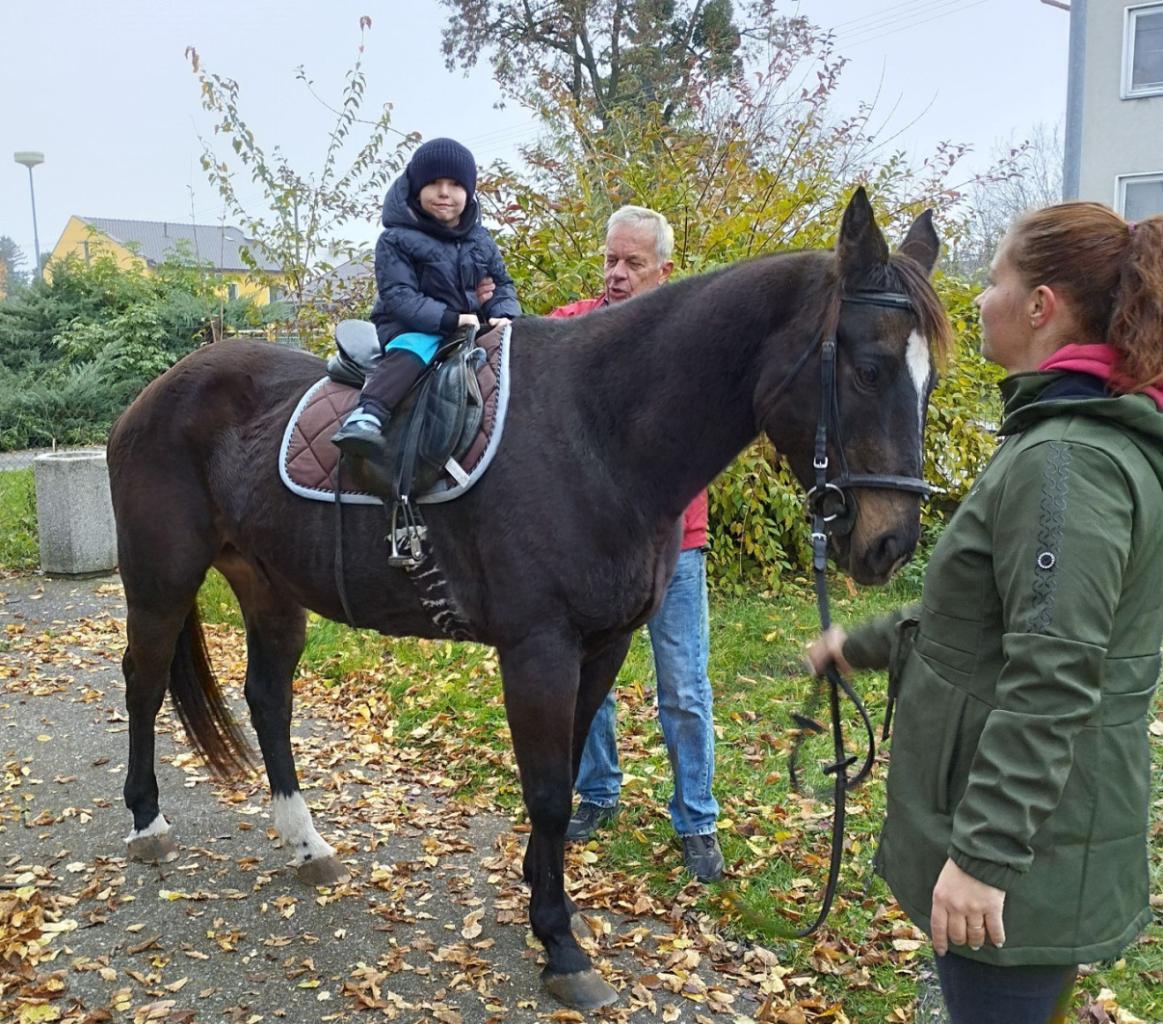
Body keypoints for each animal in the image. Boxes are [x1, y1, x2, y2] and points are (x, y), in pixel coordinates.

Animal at [106, 188, 949, 1010]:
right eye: (869, 368)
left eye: (929, 377)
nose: (888, 542)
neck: (599, 432)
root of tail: (159, 390)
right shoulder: (537, 650)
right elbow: (546, 792)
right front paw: (561, 944)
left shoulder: (604, 644)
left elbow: (568, 772)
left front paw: (542, 894)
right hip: (160, 579)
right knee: (142, 682)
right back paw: (147, 823)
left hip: (270, 586)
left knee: (268, 697)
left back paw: (306, 842)